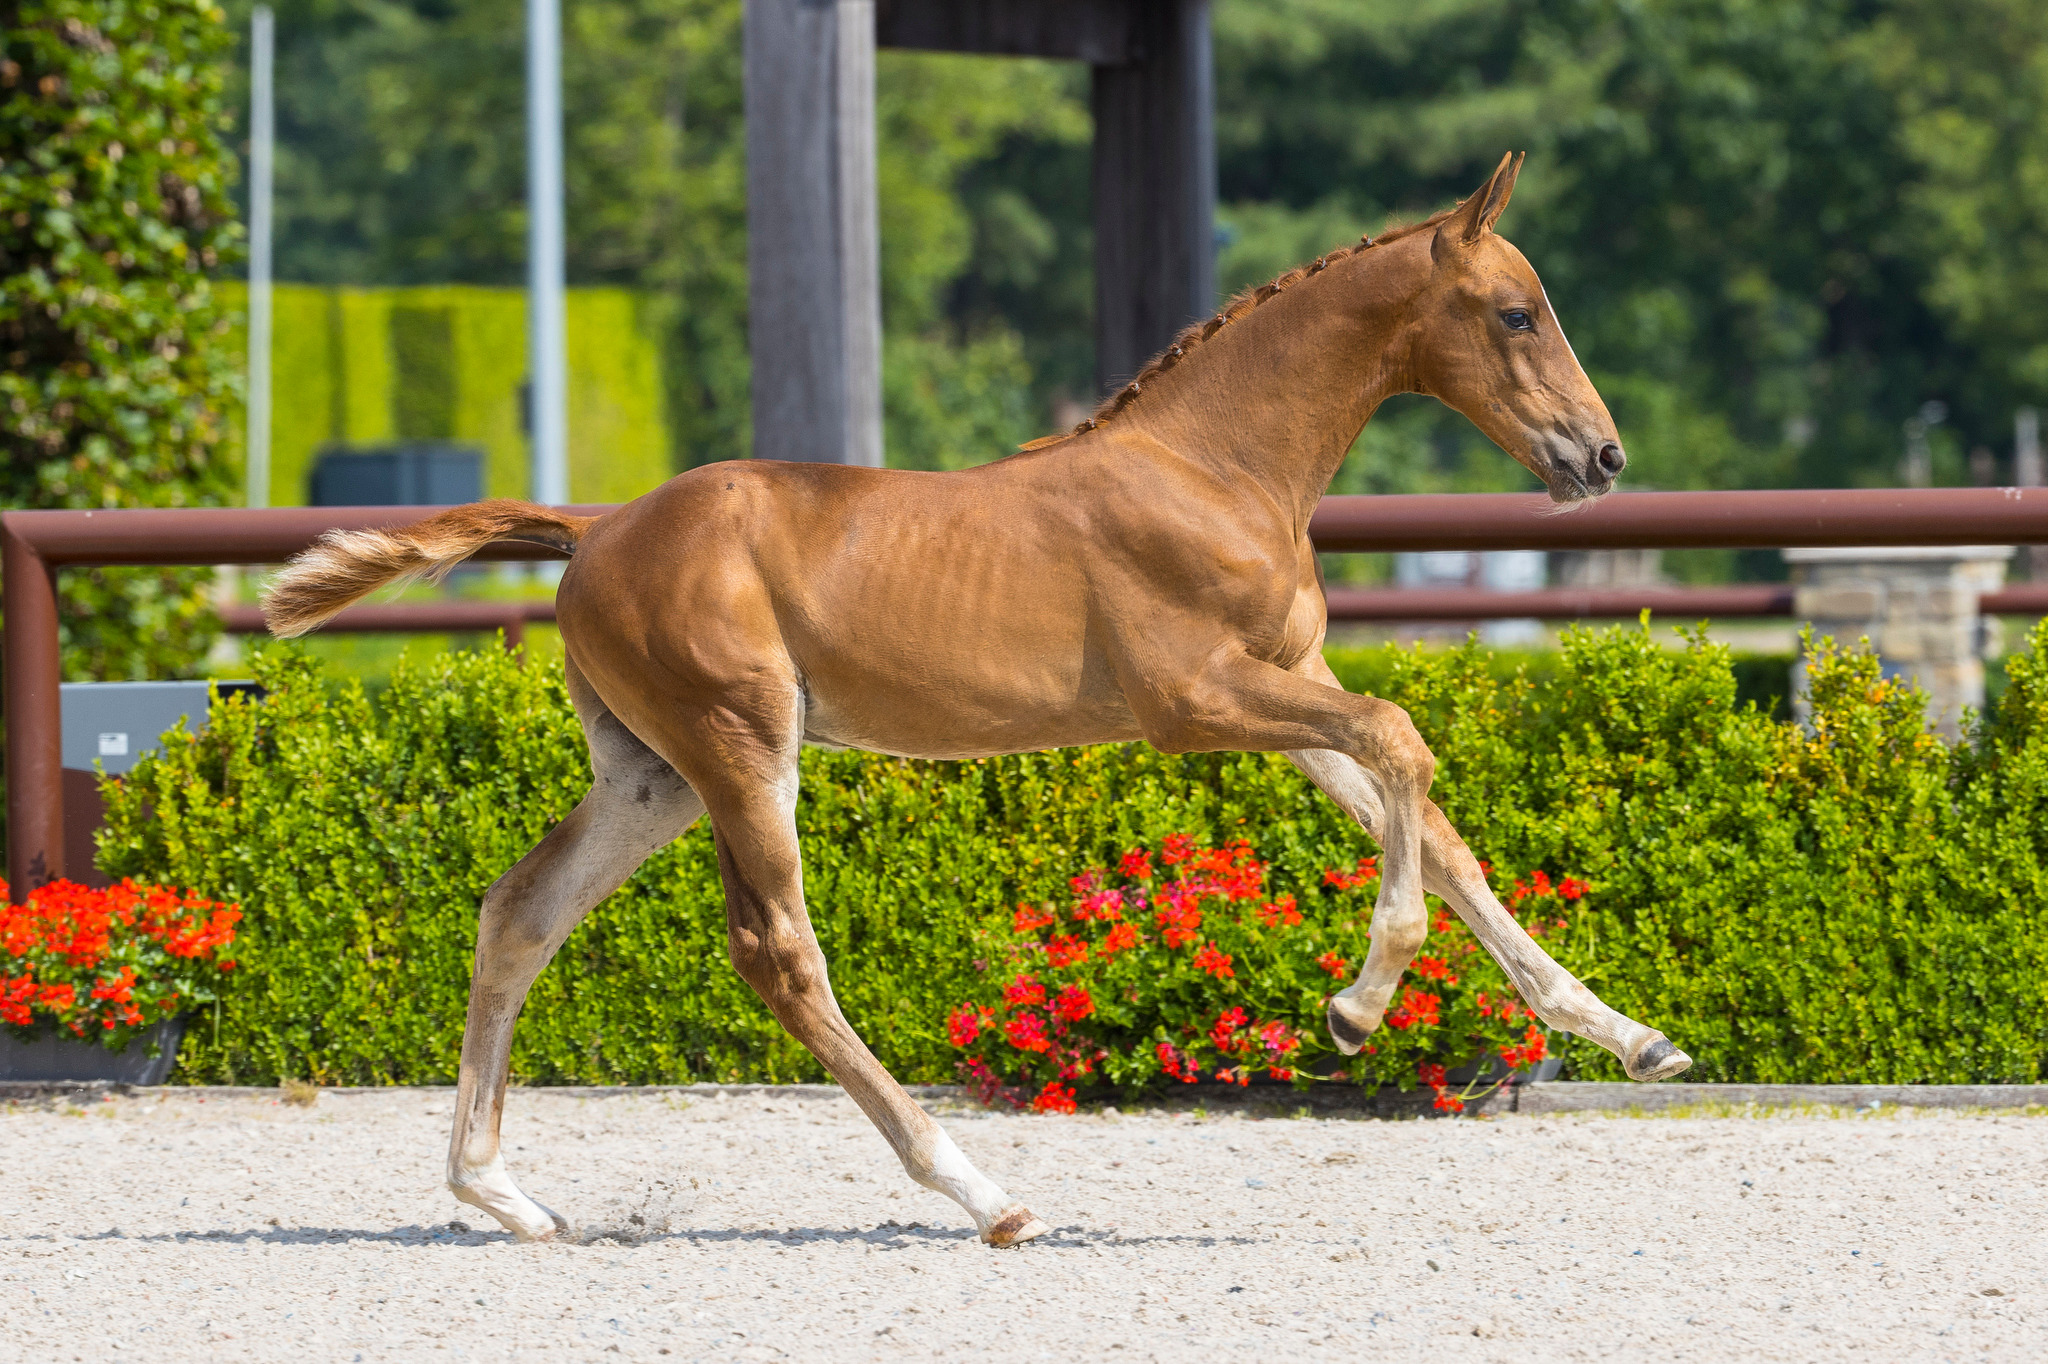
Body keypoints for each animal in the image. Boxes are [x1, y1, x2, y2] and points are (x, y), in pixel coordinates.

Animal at [264, 153, 1691, 1249]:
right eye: (1516, 312)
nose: (1600, 454)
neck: (1211, 467)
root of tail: (598, 525)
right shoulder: (1195, 699)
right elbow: (1405, 749)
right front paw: (1353, 1008)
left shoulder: (1289, 689)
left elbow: (1431, 822)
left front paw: (1628, 1036)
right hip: (741, 748)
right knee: (779, 954)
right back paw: (981, 1190)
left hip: (648, 774)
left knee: (519, 910)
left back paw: (501, 1192)